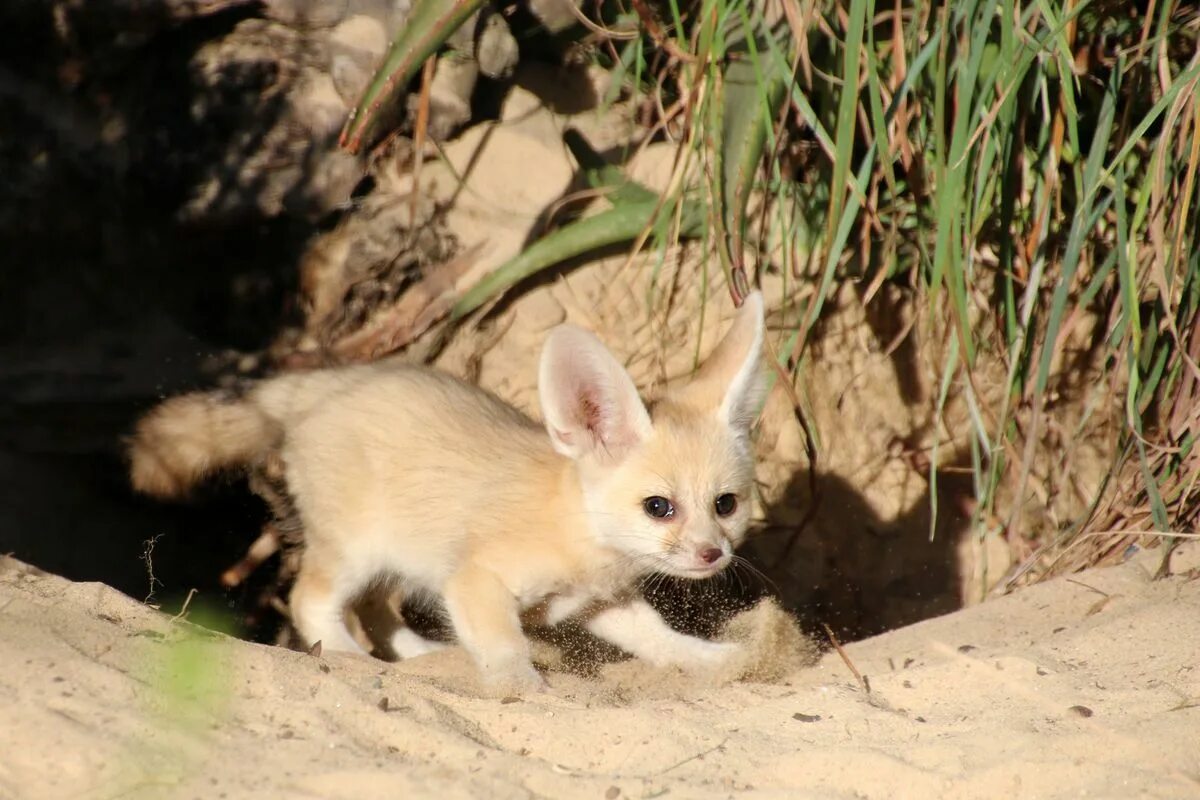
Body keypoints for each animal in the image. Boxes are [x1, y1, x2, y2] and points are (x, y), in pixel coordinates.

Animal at [129, 291, 768, 690]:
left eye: (726, 505)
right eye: (659, 507)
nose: (713, 554)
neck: (576, 525)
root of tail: (326, 384)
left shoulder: (598, 603)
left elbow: (659, 638)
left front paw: (716, 659)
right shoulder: (475, 583)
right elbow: (508, 652)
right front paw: (527, 689)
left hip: (398, 557)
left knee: (376, 611)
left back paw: (424, 658)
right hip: (354, 551)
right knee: (310, 602)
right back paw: (350, 660)